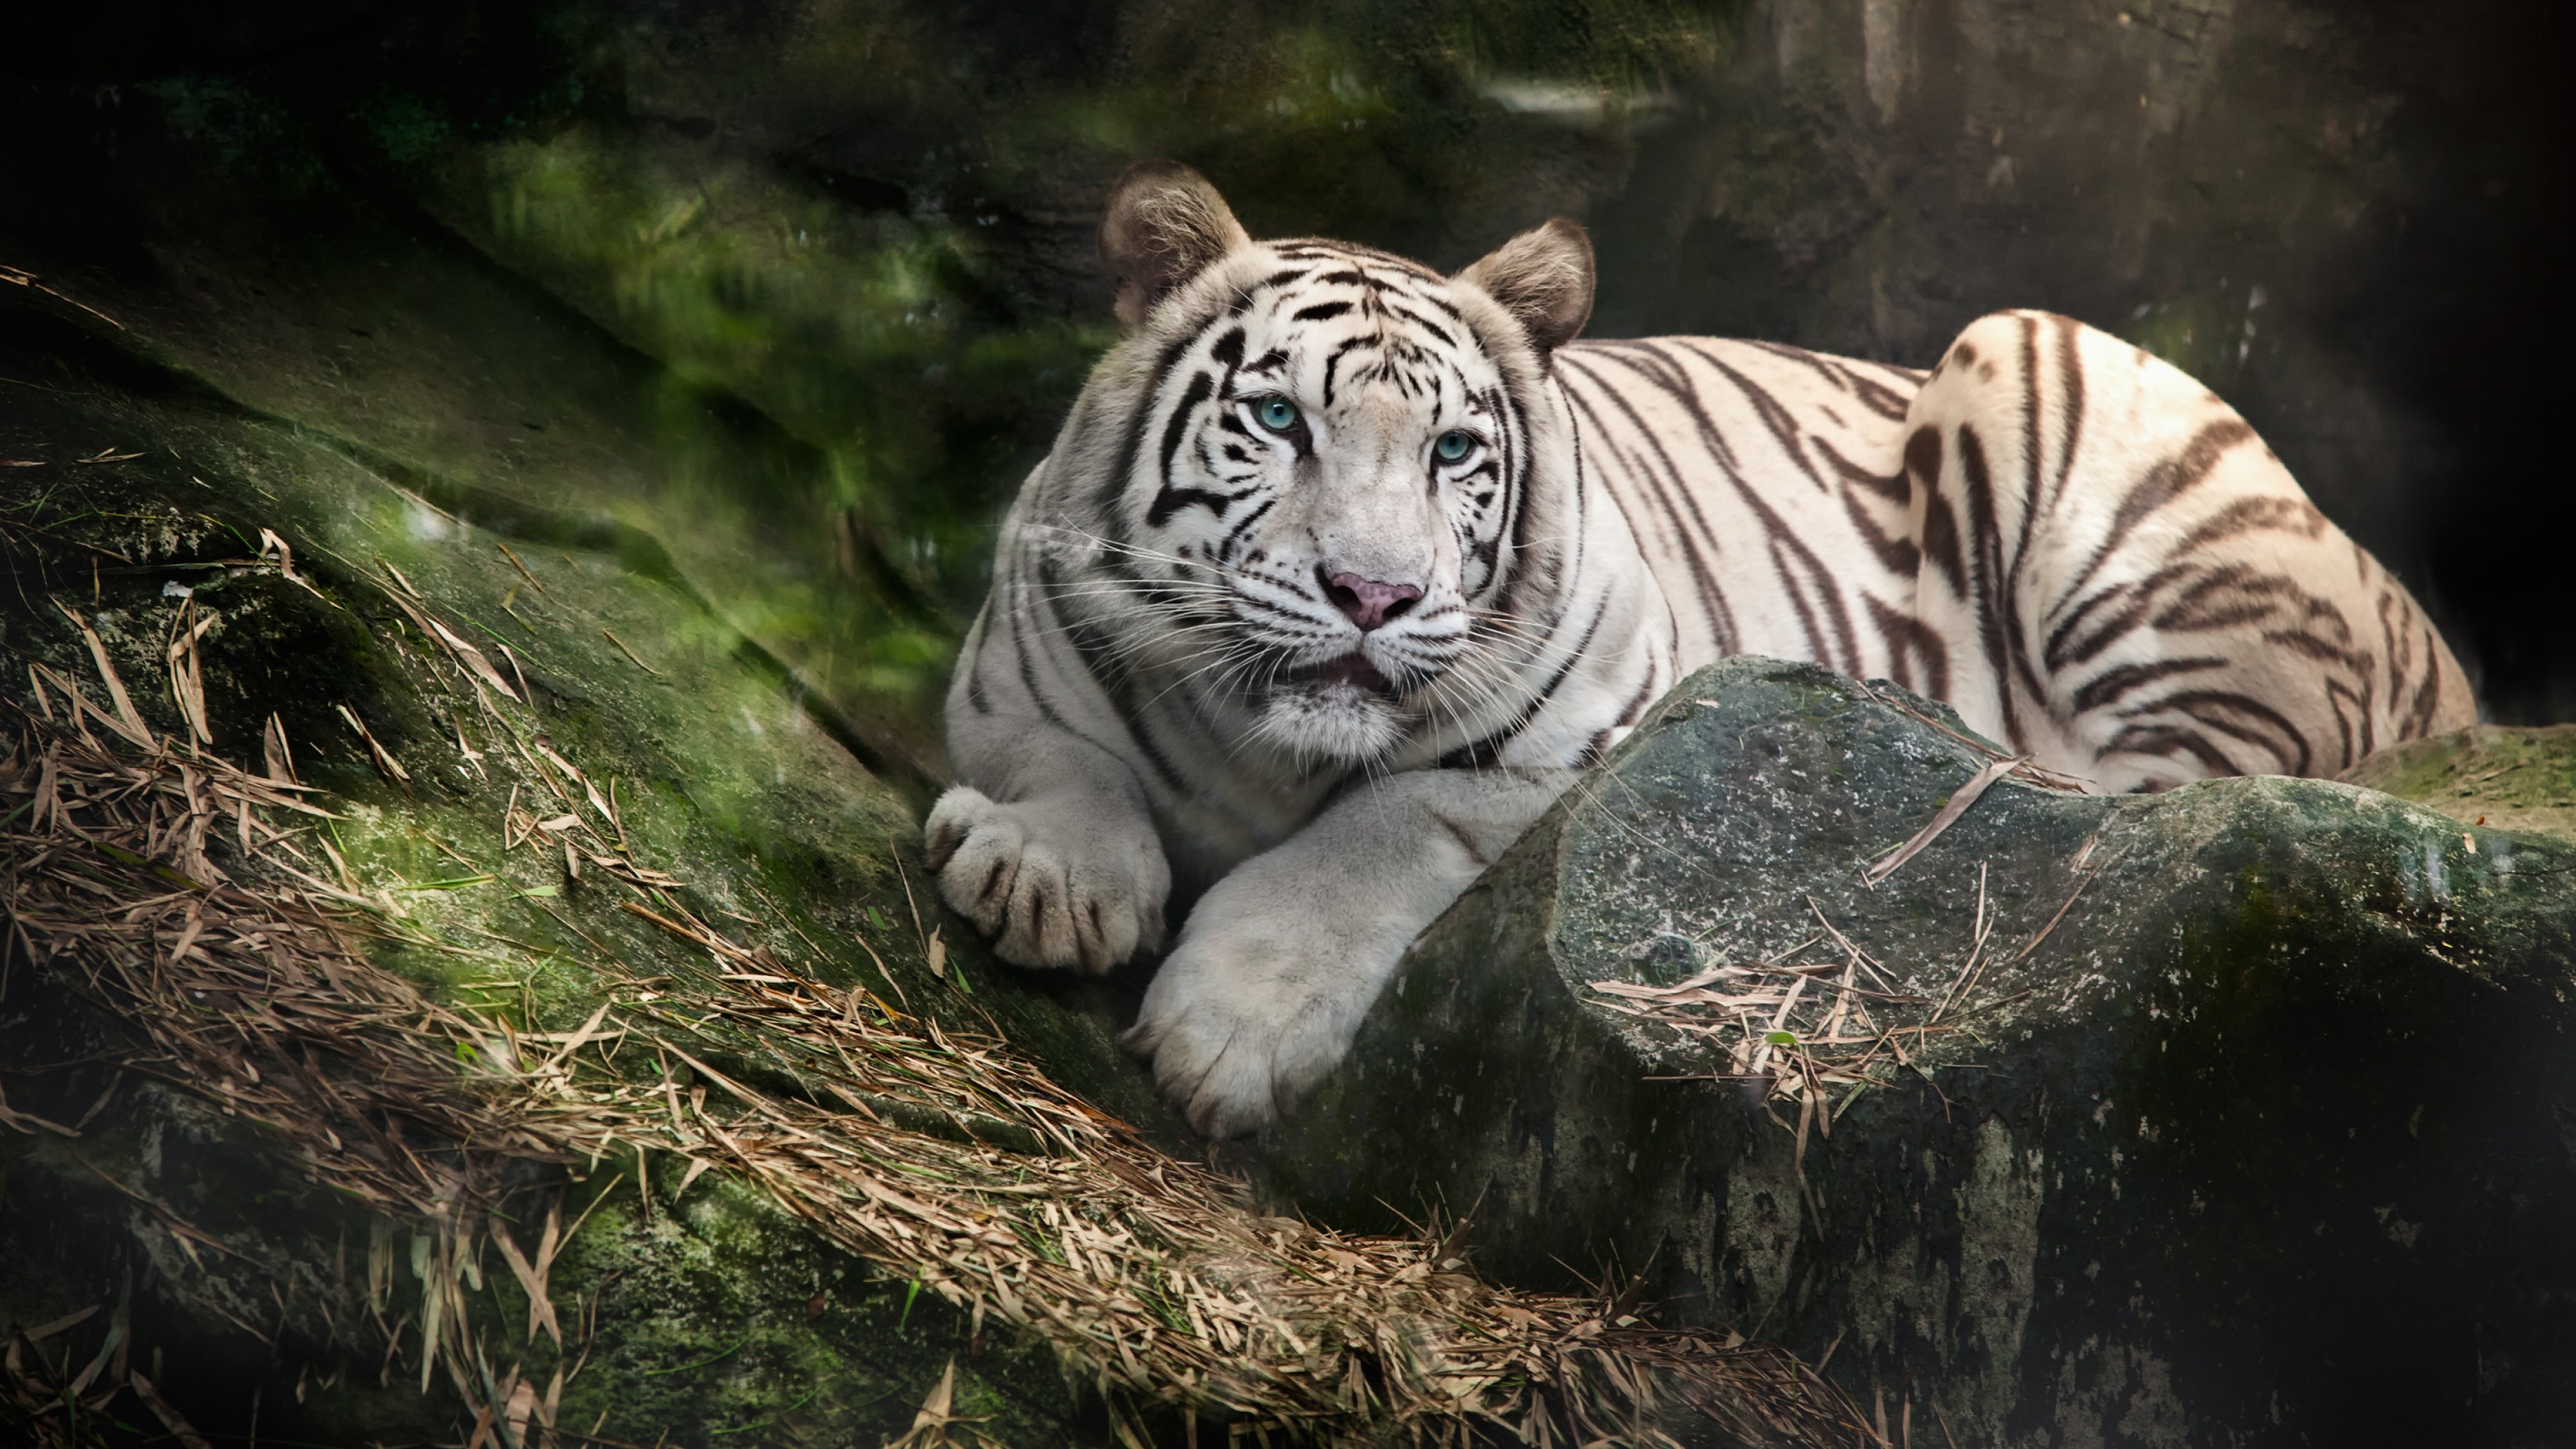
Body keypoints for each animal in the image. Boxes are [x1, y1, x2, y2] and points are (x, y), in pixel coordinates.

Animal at [924, 160, 2474, 1138]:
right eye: (1278, 420)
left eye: (1453, 452)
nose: (1372, 594)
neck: (1266, 747)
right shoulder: (1011, 661)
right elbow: (1061, 758)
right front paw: (1046, 874)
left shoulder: (1585, 731)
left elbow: (1385, 827)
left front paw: (1229, 1032)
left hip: (2062, 386)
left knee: (2162, 802)